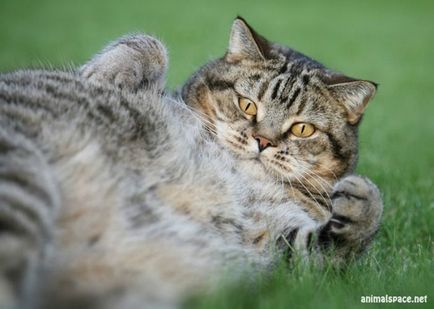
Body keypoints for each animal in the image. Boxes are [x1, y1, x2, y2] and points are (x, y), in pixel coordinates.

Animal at [0, 18, 384, 308]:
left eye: (302, 129)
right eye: (247, 105)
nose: (263, 142)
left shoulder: (276, 248)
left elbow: (332, 248)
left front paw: (363, 201)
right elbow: (149, 43)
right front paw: (103, 72)